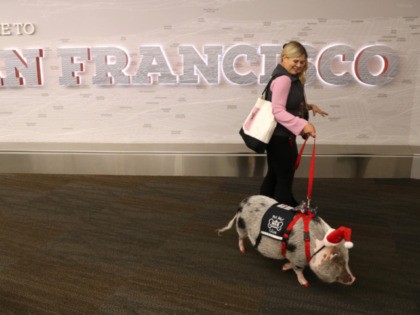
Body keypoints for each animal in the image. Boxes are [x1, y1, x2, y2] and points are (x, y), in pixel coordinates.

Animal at [218, 196, 356, 288]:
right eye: (339, 263)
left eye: (347, 261)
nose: (354, 279)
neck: (315, 247)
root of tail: (242, 204)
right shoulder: (298, 257)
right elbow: (298, 270)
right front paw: (305, 283)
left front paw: (284, 267)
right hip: (241, 226)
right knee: (240, 238)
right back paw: (242, 250)